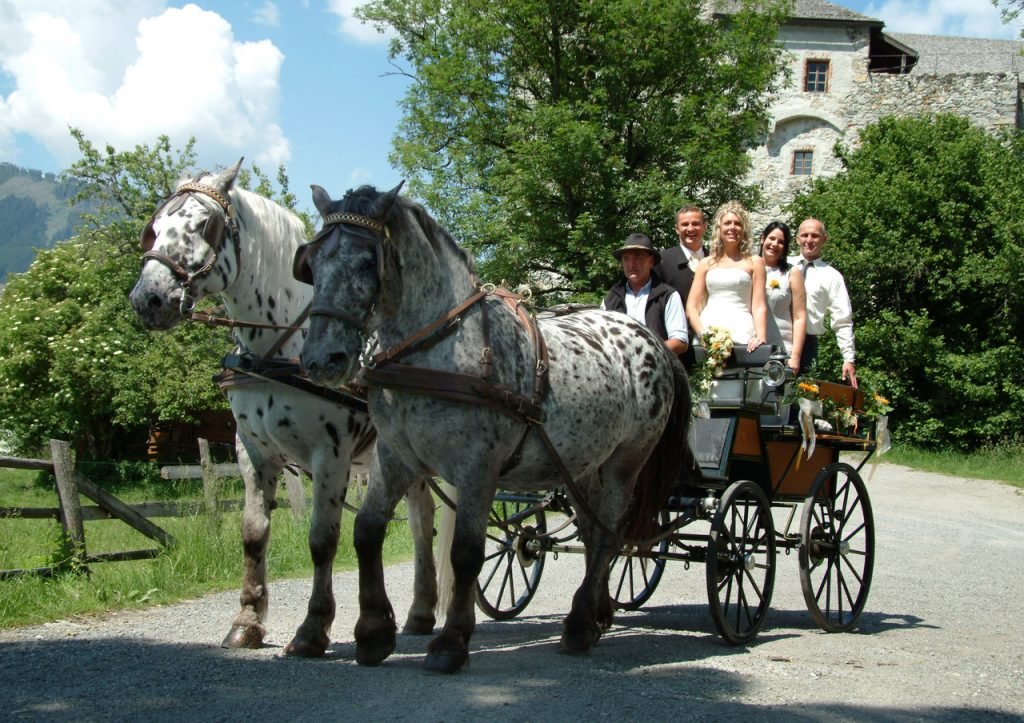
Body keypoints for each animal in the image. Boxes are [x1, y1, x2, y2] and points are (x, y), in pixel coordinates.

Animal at [129, 161, 440, 655]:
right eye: (154, 229)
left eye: (204, 225)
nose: (148, 299)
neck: (278, 350)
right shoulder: (252, 452)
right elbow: (254, 534)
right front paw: (247, 621)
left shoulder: (330, 454)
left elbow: (322, 539)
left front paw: (313, 628)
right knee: (421, 519)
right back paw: (420, 612)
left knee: (425, 521)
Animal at [296, 184, 696, 671]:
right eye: (311, 263)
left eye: (366, 262)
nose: (321, 359)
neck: (437, 350)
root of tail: (652, 339)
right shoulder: (395, 458)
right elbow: (367, 533)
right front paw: (373, 633)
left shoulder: (476, 468)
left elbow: (466, 552)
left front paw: (451, 642)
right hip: (582, 465)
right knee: (593, 528)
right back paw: (597, 613)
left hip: (625, 463)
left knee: (607, 534)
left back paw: (580, 625)